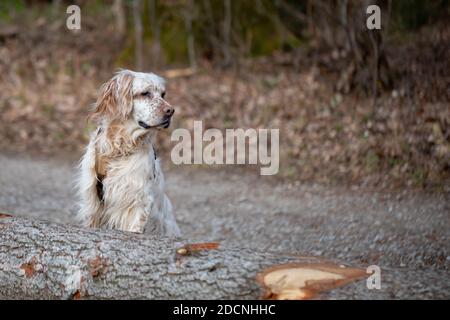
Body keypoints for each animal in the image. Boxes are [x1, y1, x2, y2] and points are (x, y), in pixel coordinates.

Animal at [75, 69, 179, 235]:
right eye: (145, 93)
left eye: (163, 94)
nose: (171, 111)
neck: (120, 145)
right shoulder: (93, 201)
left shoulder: (141, 201)